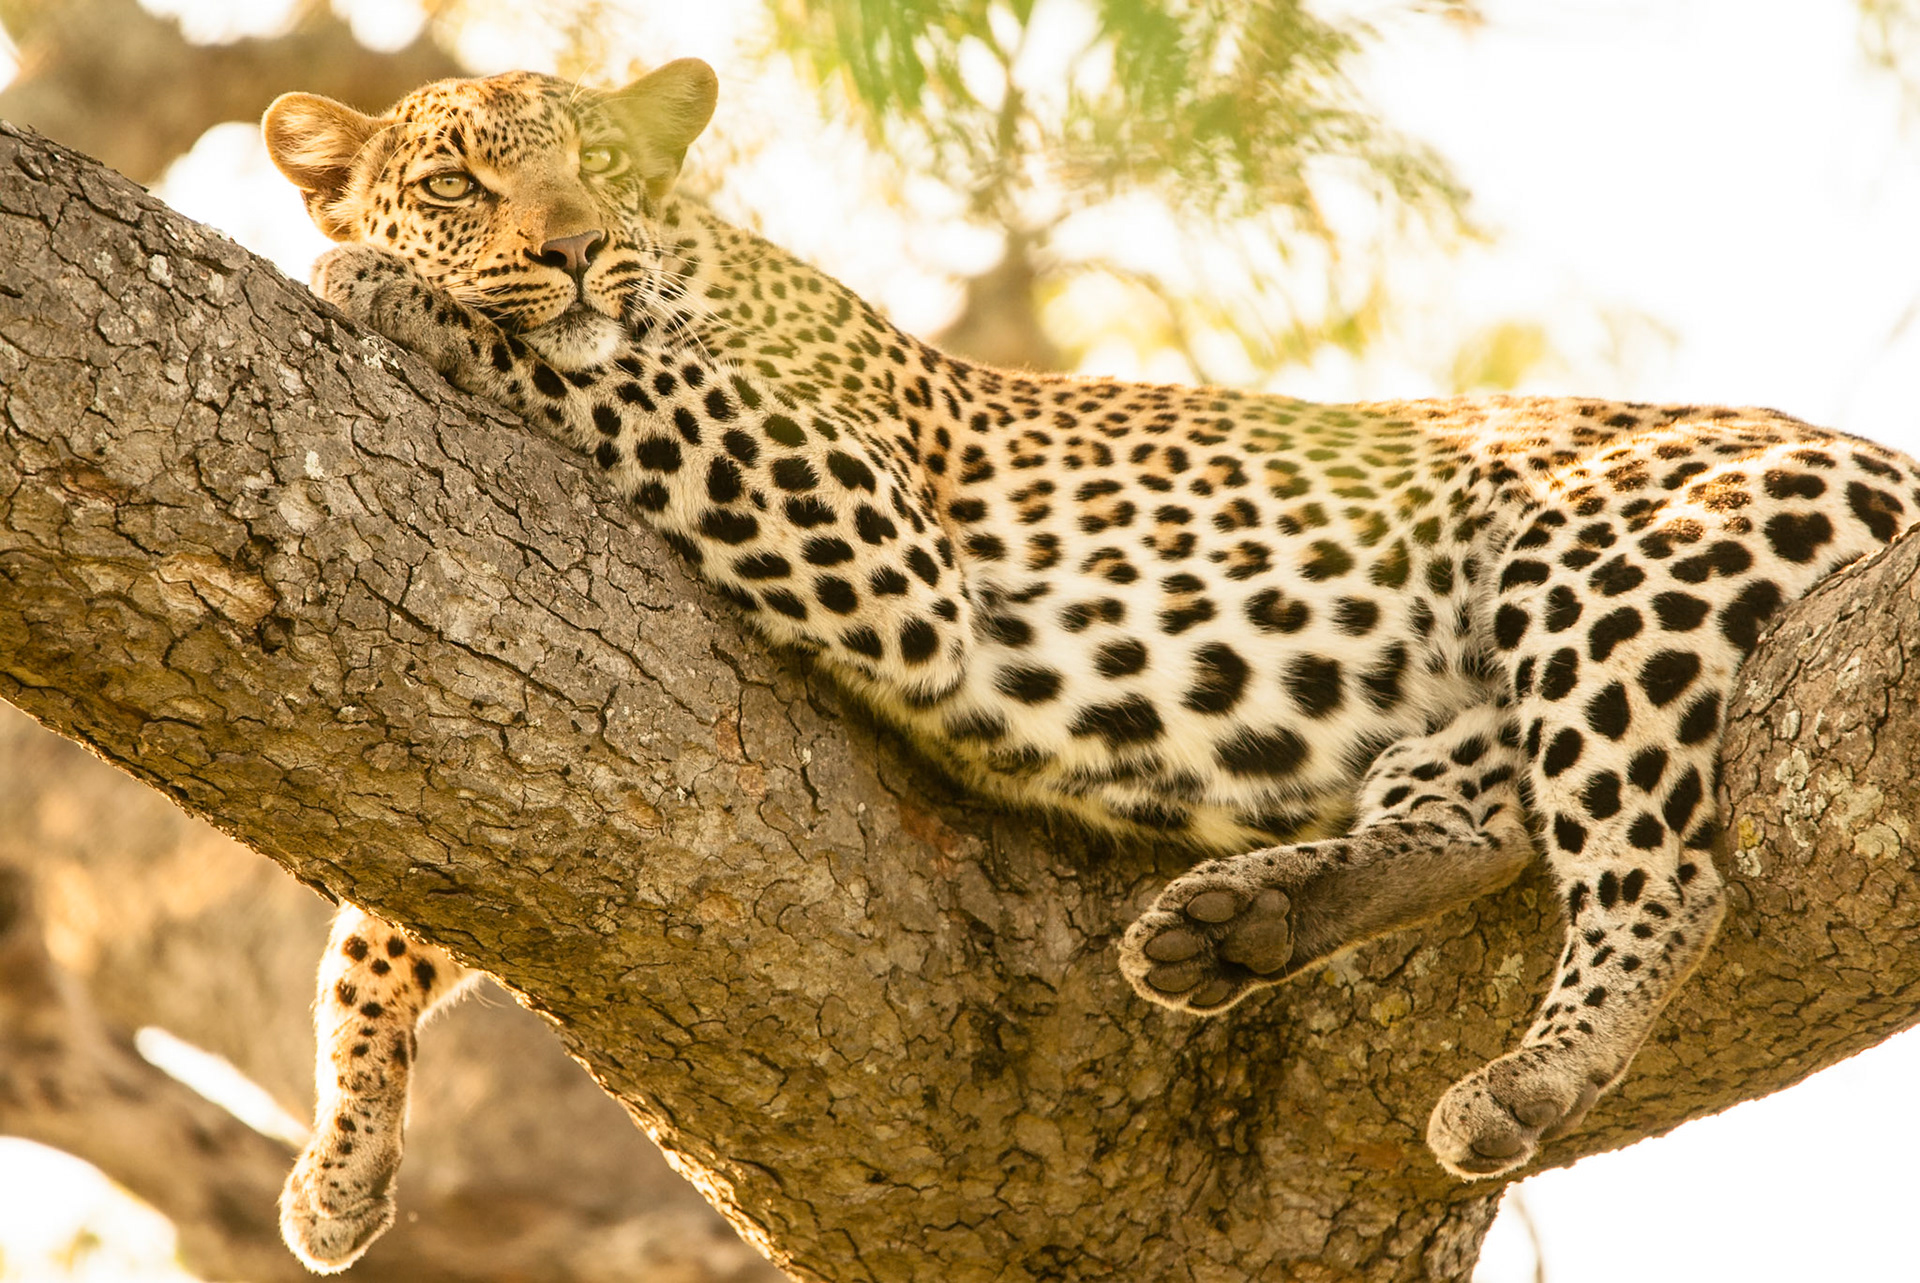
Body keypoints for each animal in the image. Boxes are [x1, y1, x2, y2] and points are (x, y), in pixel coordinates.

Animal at [261, 61, 1920, 1272]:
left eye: (610, 173)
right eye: (458, 183)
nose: (574, 249)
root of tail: (1869, 447)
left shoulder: (876, 534)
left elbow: (632, 376)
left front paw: (386, 286)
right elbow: (385, 916)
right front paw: (341, 1156)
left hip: (1608, 551)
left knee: (1660, 867)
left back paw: (1536, 1065)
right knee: (1488, 808)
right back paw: (1245, 920)